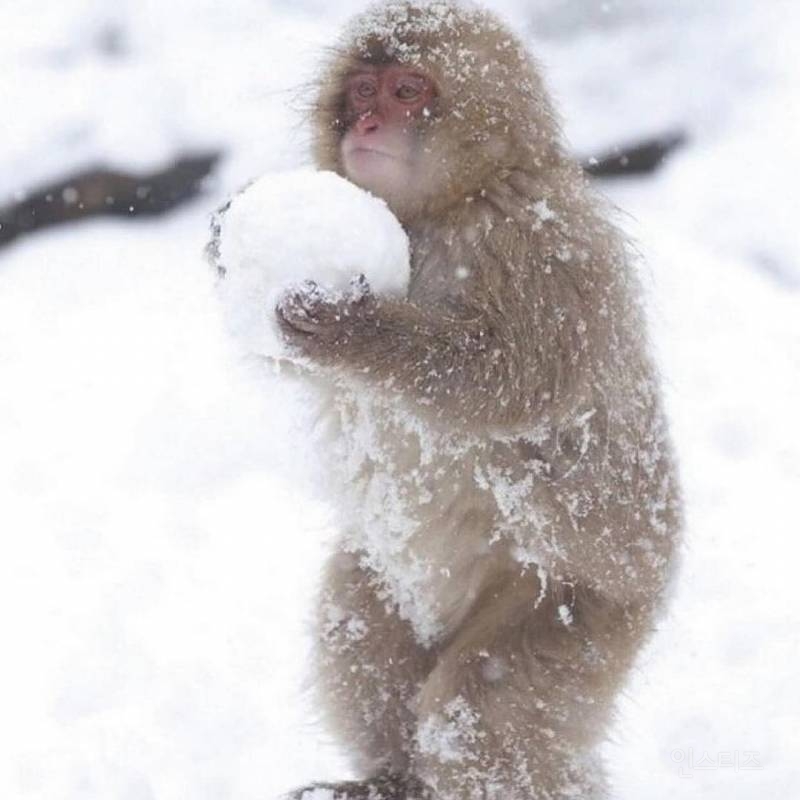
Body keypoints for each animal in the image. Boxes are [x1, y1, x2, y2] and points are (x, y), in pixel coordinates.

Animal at [276, 1, 680, 800]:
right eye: (362, 91)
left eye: (407, 90)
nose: (367, 124)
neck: (446, 206)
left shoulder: (537, 245)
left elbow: (511, 380)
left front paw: (354, 332)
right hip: (393, 575)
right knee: (357, 628)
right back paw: (390, 778)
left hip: (585, 611)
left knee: (481, 714)